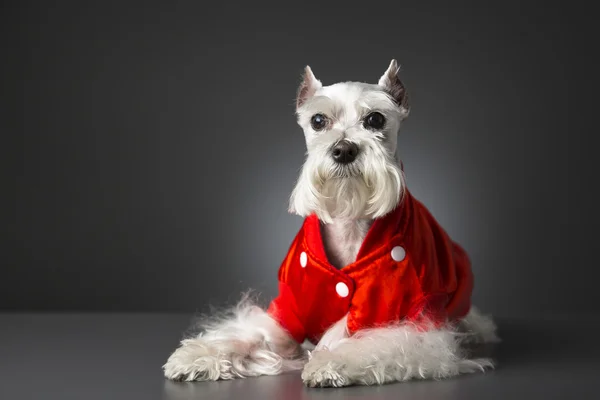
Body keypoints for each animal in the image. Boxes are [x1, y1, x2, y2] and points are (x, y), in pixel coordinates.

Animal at [162, 59, 500, 388]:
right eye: (318, 120)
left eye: (375, 119)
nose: (343, 149)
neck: (349, 221)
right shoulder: (286, 312)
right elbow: (252, 334)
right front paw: (198, 356)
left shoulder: (418, 322)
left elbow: (371, 341)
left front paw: (331, 361)